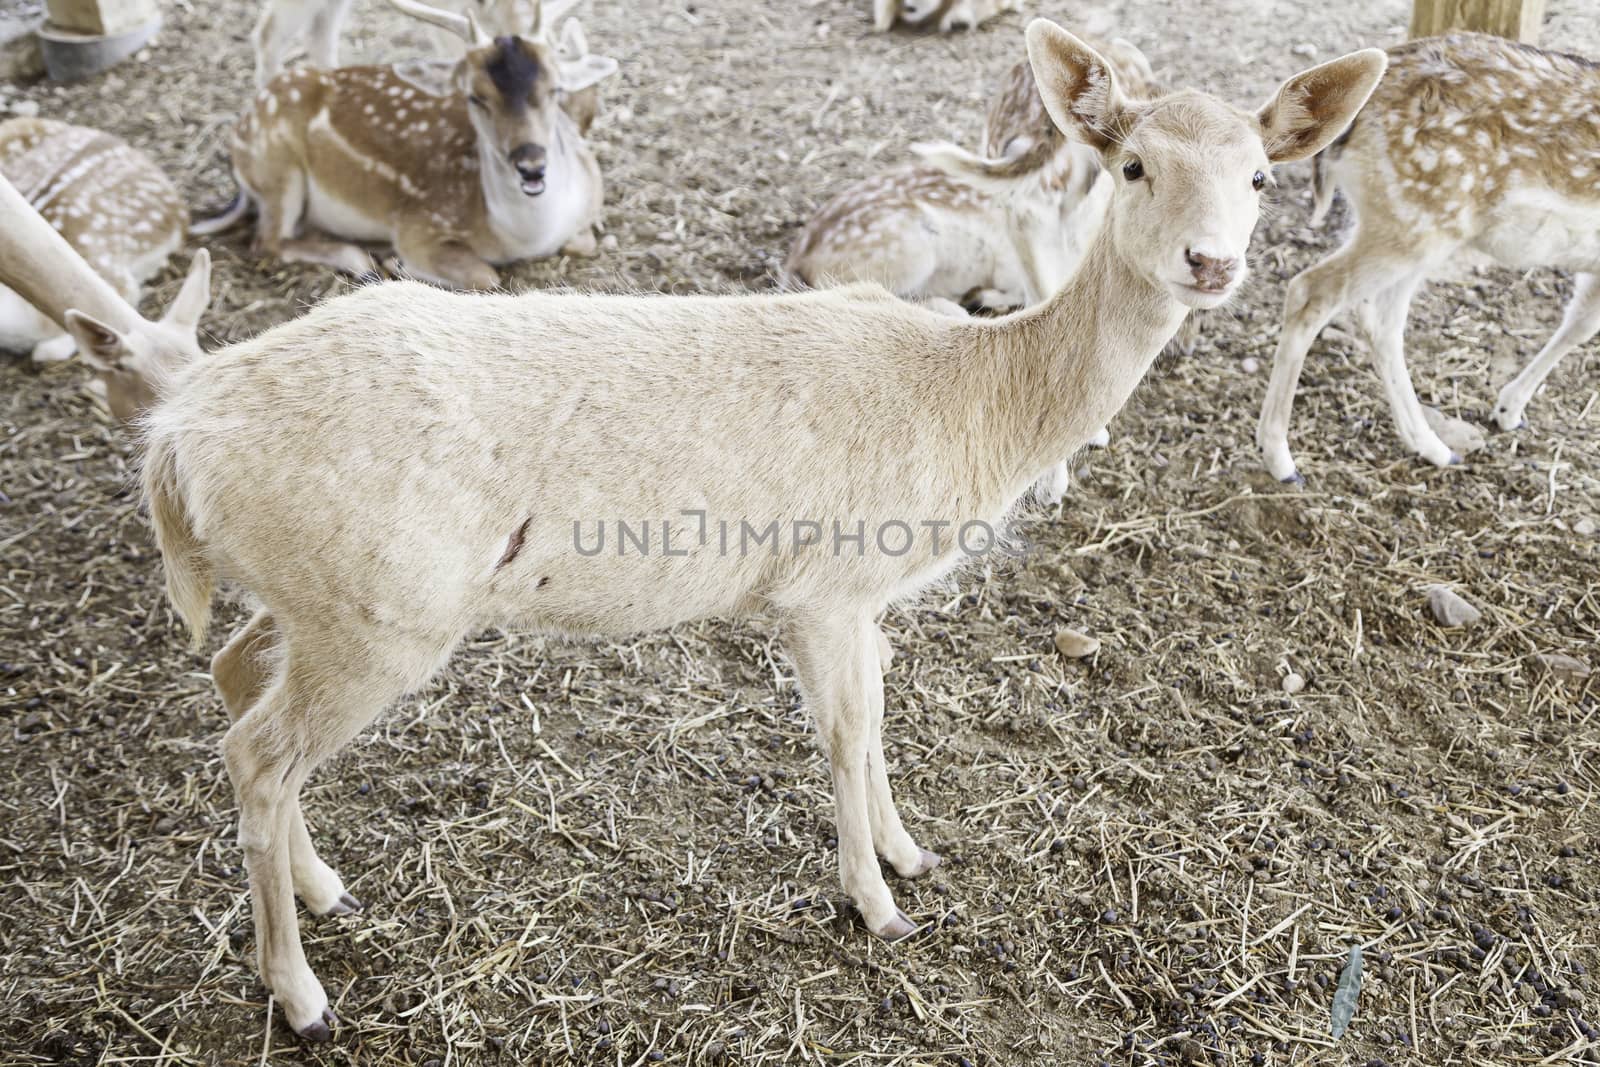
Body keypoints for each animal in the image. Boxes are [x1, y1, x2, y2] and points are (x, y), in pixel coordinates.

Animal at [196, 0, 620, 287]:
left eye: (555, 88)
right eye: (474, 96)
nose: (530, 162)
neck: (528, 236)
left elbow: (585, 242)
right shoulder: (419, 224)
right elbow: (486, 276)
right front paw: (398, 264)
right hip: (278, 172)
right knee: (266, 241)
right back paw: (363, 260)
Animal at [1254, 32, 1600, 483]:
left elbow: (1581, 324)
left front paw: (1508, 409)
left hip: (1399, 223)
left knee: (1379, 320)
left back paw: (1432, 446)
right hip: (1417, 223)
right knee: (1312, 291)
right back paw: (1280, 457)